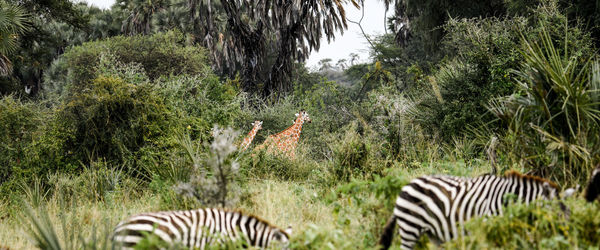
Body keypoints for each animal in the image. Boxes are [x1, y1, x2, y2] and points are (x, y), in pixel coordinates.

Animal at [380, 171, 572, 249]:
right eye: (558, 215)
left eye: (568, 215)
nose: (568, 239)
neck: (509, 200)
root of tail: (407, 185)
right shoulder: (488, 224)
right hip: (410, 227)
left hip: (433, 234)